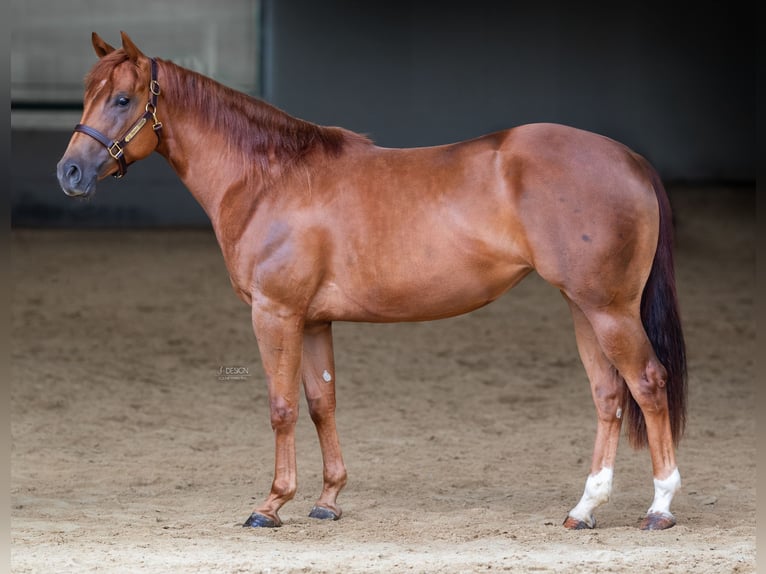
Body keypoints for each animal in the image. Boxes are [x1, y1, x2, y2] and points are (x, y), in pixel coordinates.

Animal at [57, 33, 688, 532]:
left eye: (122, 98)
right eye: (88, 94)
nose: (70, 172)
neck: (270, 178)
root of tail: (630, 159)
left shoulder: (275, 314)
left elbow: (282, 406)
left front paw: (271, 505)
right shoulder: (314, 320)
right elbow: (321, 402)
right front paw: (328, 500)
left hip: (609, 310)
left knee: (648, 384)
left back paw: (659, 508)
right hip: (584, 308)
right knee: (608, 395)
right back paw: (584, 509)